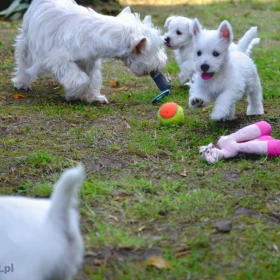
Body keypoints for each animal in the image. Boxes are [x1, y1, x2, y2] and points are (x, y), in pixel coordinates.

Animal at [12, 0, 166, 103]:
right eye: (155, 49)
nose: (162, 64)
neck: (92, 34)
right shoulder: (58, 60)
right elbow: (81, 79)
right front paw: (73, 94)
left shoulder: (90, 62)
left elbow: (92, 79)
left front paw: (93, 97)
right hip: (26, 43)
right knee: (23, 64)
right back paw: (22, 83)